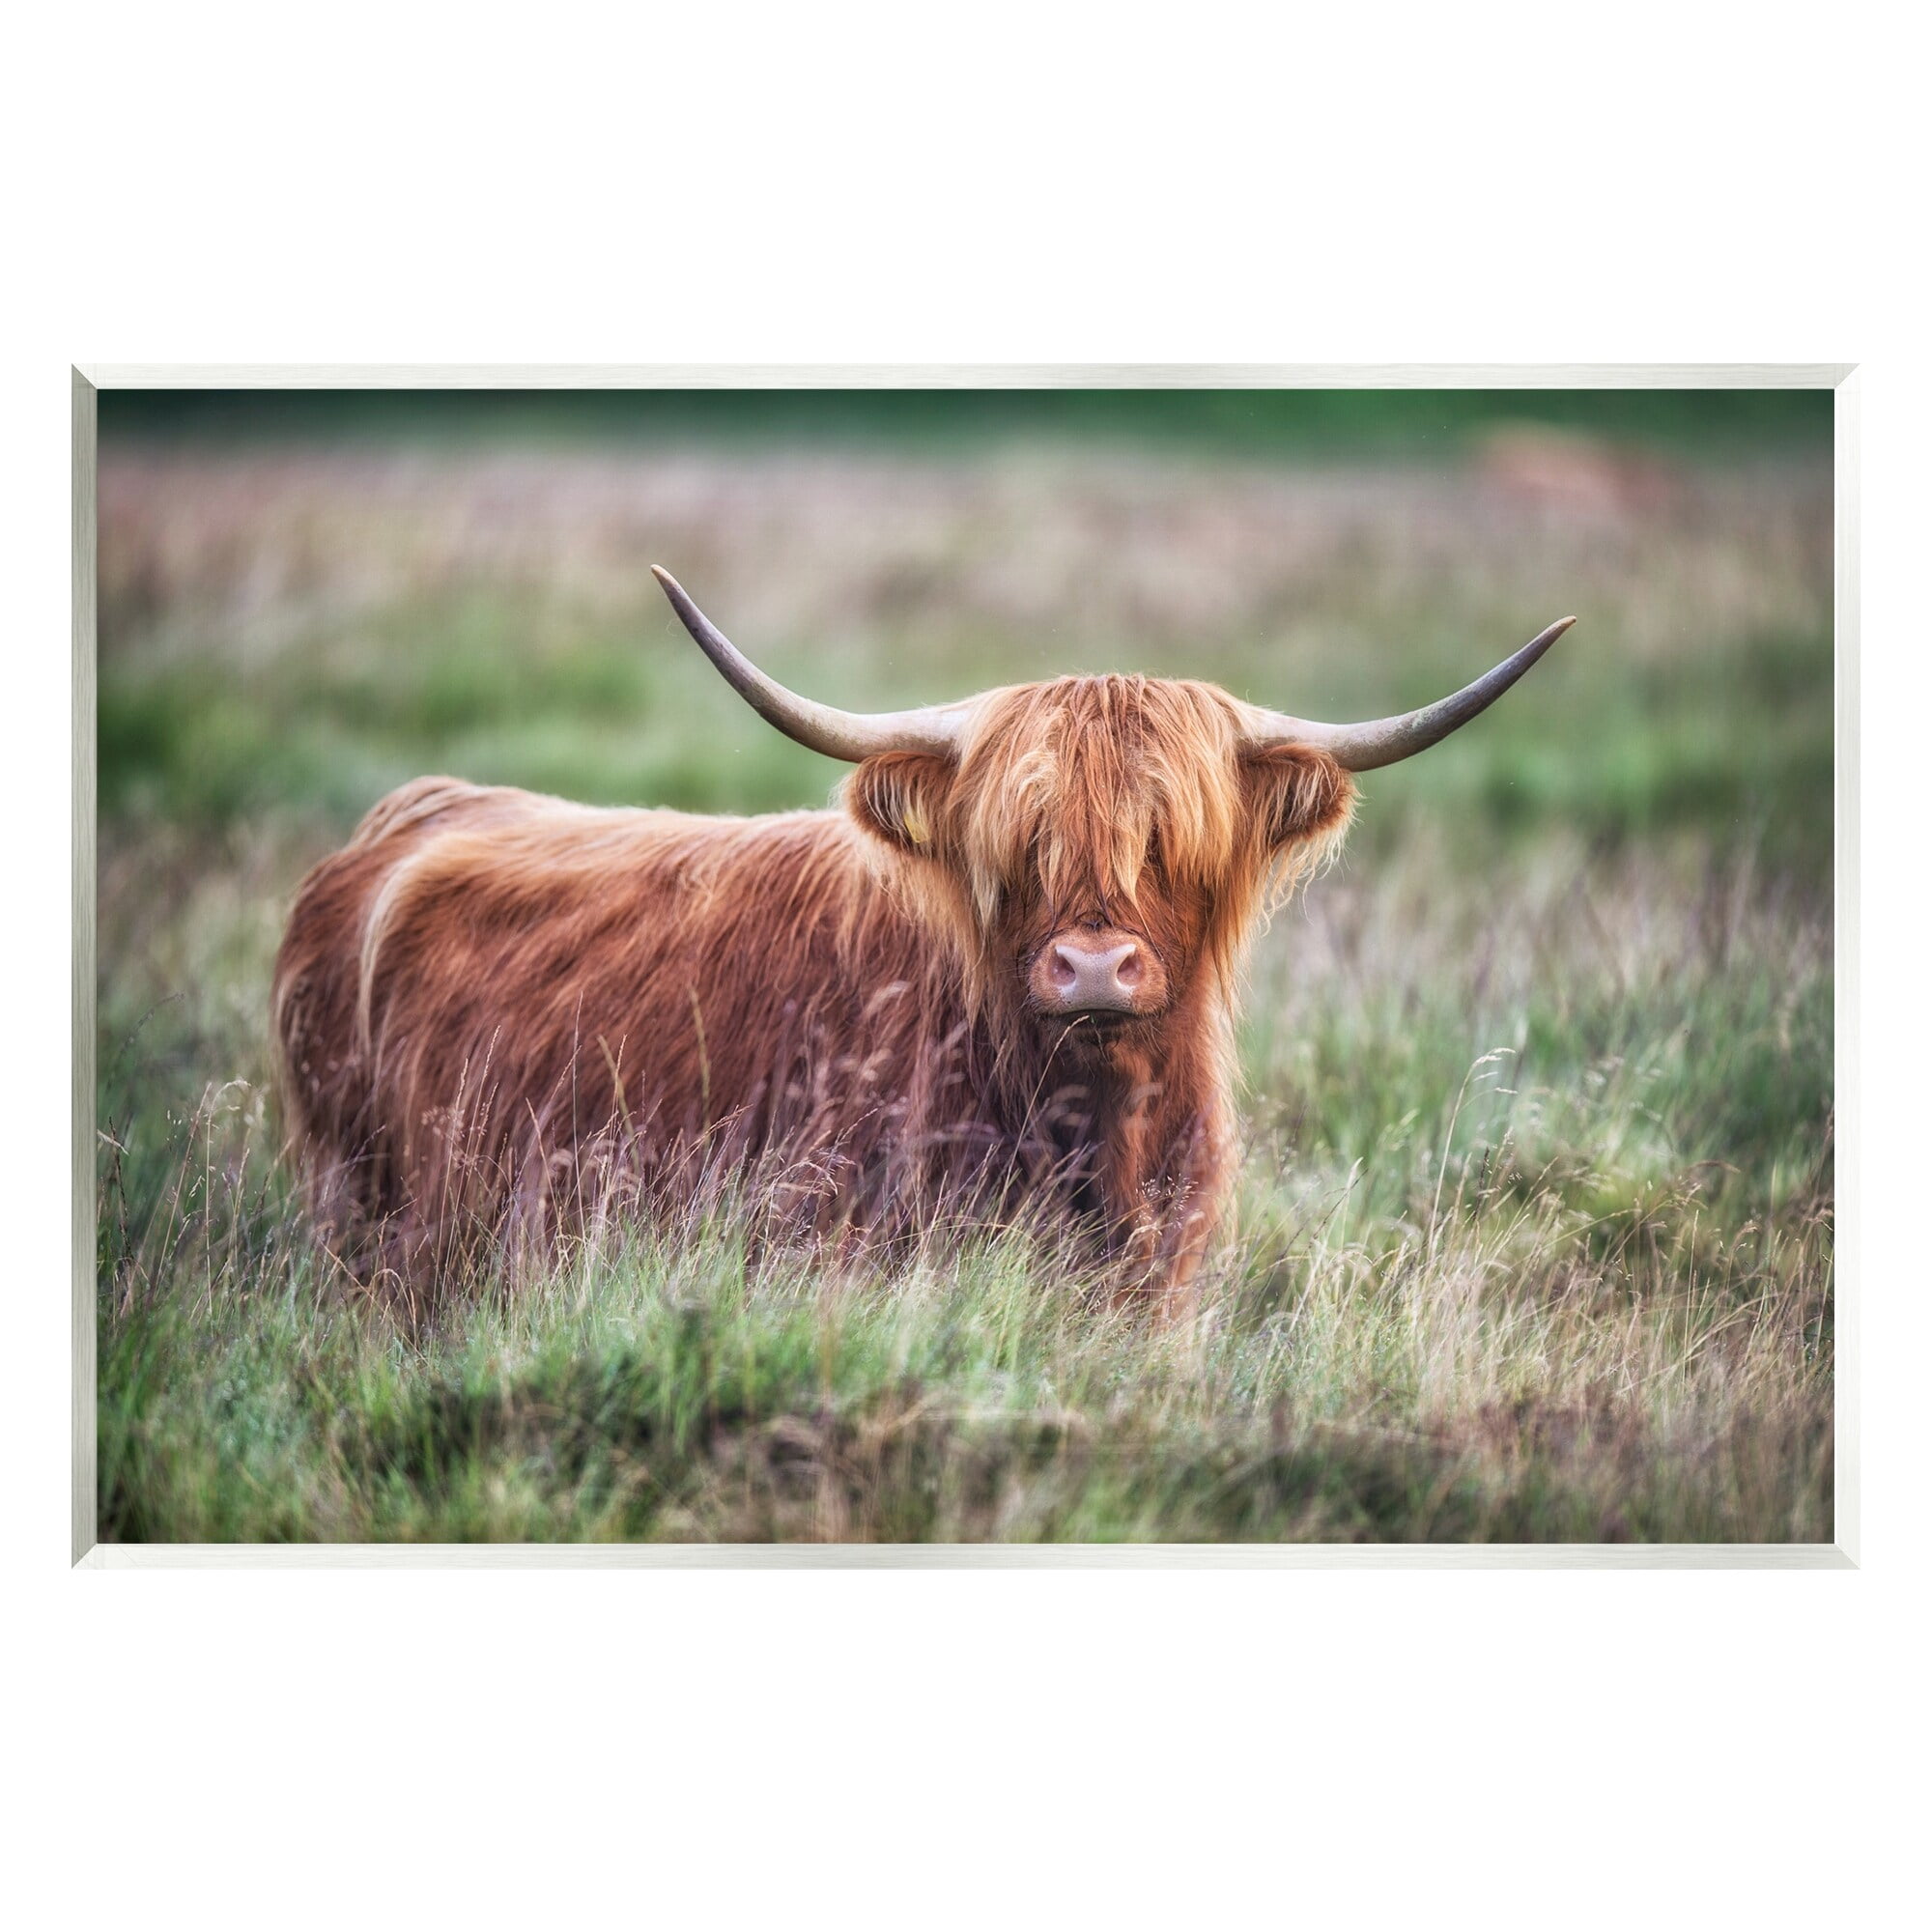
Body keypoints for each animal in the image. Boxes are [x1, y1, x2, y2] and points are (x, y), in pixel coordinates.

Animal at [272, 567, 1572, 1315]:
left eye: (1167, 837)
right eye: (1022, 841)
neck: (1087, 1127)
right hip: (358, 1208)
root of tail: (416, 811)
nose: (1091, 968)